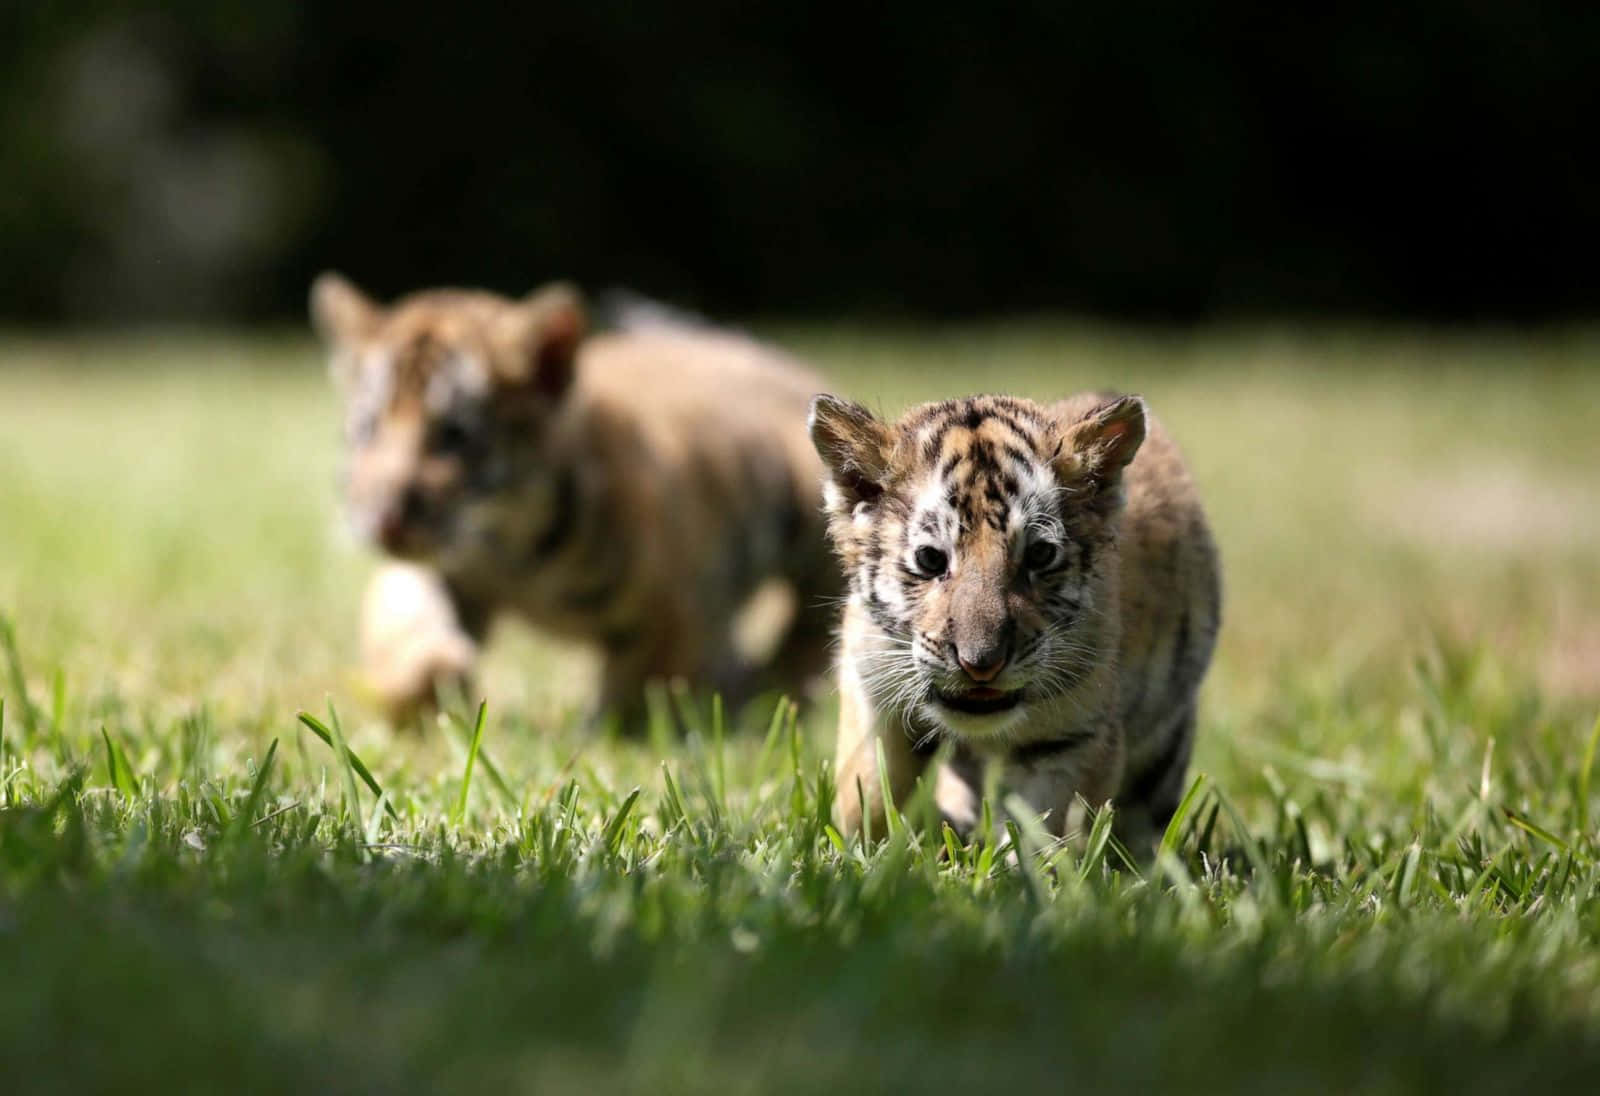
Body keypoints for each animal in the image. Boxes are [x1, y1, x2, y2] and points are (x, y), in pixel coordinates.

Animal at [310, 273, 841, 726]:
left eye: (455, 435)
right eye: (367, 429)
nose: (384, 518)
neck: (510, 543)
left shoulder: (675, 601)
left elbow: (646, 680)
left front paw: (615, 732)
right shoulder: (441, 566)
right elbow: (409, 618)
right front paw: (428, 679)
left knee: (815, 618)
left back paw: (776, 689)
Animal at [807, 390, 1221, 848]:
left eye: (1040, 555)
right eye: (930, 559)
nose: (980, 664)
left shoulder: (1068, 738)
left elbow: (1043, 829)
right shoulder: (874, 695)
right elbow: (870, 792)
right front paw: (866, 851)